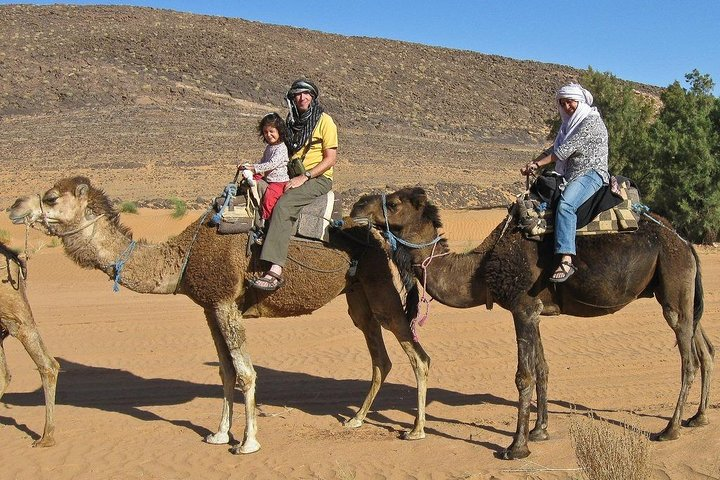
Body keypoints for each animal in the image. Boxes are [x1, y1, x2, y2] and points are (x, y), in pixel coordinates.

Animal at [9, 176, 432, 454]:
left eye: (50, 198)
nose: (14, 206)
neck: (183, 256)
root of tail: (377, 234)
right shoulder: (210, 307)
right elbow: (225, 372)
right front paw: (218, 434)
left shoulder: (226, 303)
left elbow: (246, 373)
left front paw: (248, 442)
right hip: (358, 296)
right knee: (380, 356)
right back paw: (356, 419)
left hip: (379, 284)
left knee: (417, 354)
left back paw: (416, 430)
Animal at [350, 187, 715, 460]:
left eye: (393, 203)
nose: (356, 206)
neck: (481, 268)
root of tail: (685, 242)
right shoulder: (535, 311)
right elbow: (542, 368)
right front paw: (540, 431)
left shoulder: (522, 307)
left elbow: (523, 376)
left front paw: (516, 447)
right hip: (679, 290)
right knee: (705, 347)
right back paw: (698, 418)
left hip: (673, 280)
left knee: (689, 359)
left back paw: (670, 430)